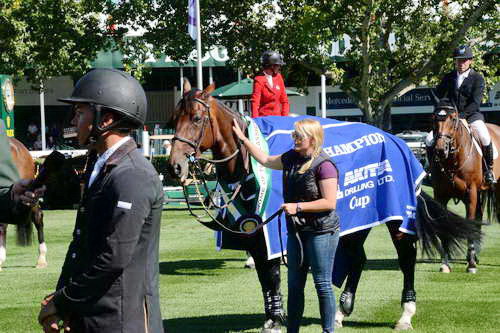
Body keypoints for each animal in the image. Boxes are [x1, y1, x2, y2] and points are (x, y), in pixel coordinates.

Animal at [167, 79, 480, 330]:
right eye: (174, 119)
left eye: (197, 118)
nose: (175, 166)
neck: (249, 163)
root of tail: (396, 140)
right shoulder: (255, 233)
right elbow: (265, 278)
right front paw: (272, 316)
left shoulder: (271, 230)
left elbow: (272, 274)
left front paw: (276, 319)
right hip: (356, 217)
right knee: (357, 258)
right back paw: (342, 311)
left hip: (395, 217)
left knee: (406, 258)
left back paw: (405, 314)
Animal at [428, 100, 498, 274]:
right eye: (433, 119)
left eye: (453, 119)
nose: (440, 149)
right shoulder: (440, 195)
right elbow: (445, 227)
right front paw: (445, 264)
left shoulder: (471, 193)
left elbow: (470, 221)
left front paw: (471, 265)